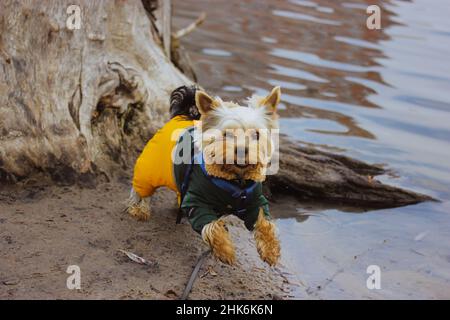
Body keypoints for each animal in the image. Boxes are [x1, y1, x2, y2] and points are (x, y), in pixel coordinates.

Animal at [127, 84, 282, 264]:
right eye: (227, 134)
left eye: (256, 134)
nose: (242, 150)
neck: (235, 181)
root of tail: (182, 114)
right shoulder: (197, 202)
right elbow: (212, 227)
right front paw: (225, 250)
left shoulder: (255, 202)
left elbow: (264, 222)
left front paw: (270, 250)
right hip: (149, 168)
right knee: (141, 190)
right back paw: (139, 209)